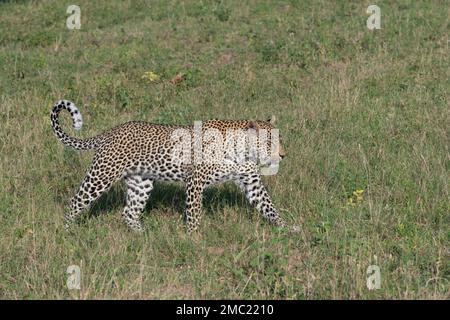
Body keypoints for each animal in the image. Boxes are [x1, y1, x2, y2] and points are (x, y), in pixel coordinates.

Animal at [50, 99, 288, 234]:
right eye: (269, 142)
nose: (283, 155)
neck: (241, 151)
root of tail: (108, 132)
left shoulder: (251, 182)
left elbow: (269, 207)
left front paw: (288, 229)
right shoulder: (195, 182)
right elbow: (194, 215)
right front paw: (194, 239)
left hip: (141, 183)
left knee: (129, 212)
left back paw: (145, 235)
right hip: (101, 176)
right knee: (75, 202)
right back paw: (67, 232)